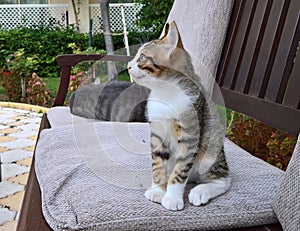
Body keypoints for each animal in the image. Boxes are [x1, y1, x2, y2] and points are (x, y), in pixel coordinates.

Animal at [127, 21, 231, 211]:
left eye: (142, 57)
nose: (129, 66)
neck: (165, 92)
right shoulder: (157, 133)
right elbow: (158, 162)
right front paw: (158, 190)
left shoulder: (190, 135)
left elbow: (181, 169)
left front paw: (173, 197)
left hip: (210, 151)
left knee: (224, 180)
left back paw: (201, 191)